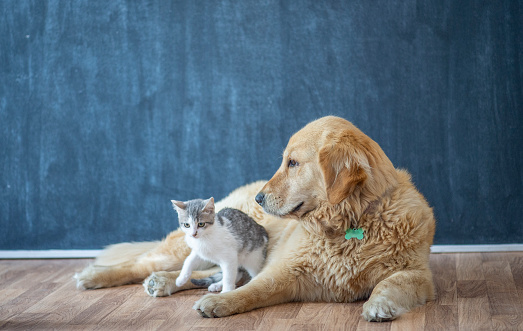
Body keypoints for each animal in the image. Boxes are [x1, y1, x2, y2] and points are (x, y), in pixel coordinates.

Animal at [75, 116, 436, 322]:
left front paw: (381, 305)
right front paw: (222, 302)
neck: (351, 223)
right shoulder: (285, 270)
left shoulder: (418, 274)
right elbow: (254, 289)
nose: (259, 199)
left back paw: (166, 282)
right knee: (143, 263)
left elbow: (392, 283)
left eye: (293, 163)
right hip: (187, 245)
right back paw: (94, 276)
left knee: (201, 271)